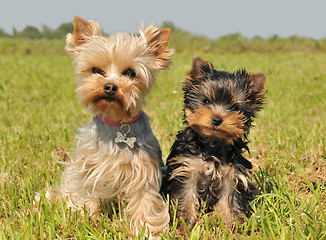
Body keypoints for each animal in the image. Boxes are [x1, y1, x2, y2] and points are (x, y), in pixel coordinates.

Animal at [45, 16, 176, 236]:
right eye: (96, 70)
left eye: (130, 73)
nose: (110, 86)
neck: (117, 124)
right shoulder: (87, 167)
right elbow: (84, 193)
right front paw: (86, 219)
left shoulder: (143, 171)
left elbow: (145, 202)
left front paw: (147, 232)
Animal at [164, 55, 266, 231]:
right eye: (205, 101)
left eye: (234, 107)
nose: (217, 119)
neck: (212, 145)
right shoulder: (187, 168)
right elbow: (186, 197)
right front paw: (184, 227)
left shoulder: (232, 175)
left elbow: (230, 200)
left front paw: (233, 227)